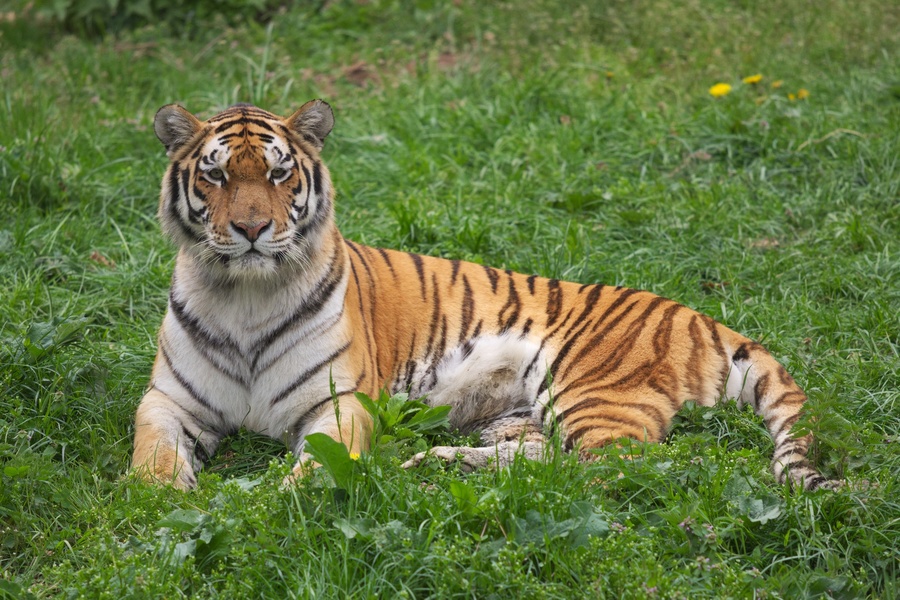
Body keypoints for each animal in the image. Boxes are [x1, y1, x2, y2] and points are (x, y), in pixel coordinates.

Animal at [132, 99, 838, 492]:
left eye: (279, 174)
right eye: (217, 175)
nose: (252, 230)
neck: (245, 296)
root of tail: (704, 319)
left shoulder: (340, 403)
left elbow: (316, 467)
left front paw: (278, 497)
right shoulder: (168, 400)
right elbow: (152, 459)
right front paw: (161, 500)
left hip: (590, 391)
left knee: (602, 470)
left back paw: (430, 472)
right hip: (525, 415)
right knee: (542, 458)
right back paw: (433, 464)